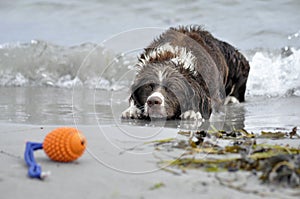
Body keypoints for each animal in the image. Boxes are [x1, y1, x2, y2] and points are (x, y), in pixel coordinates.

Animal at [120, 25, 250, 120]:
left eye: (172, 88)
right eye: (148, 87)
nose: (153, 101)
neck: (170, 56)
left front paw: (192, 112)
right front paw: (132, 110)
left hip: (238, 62)